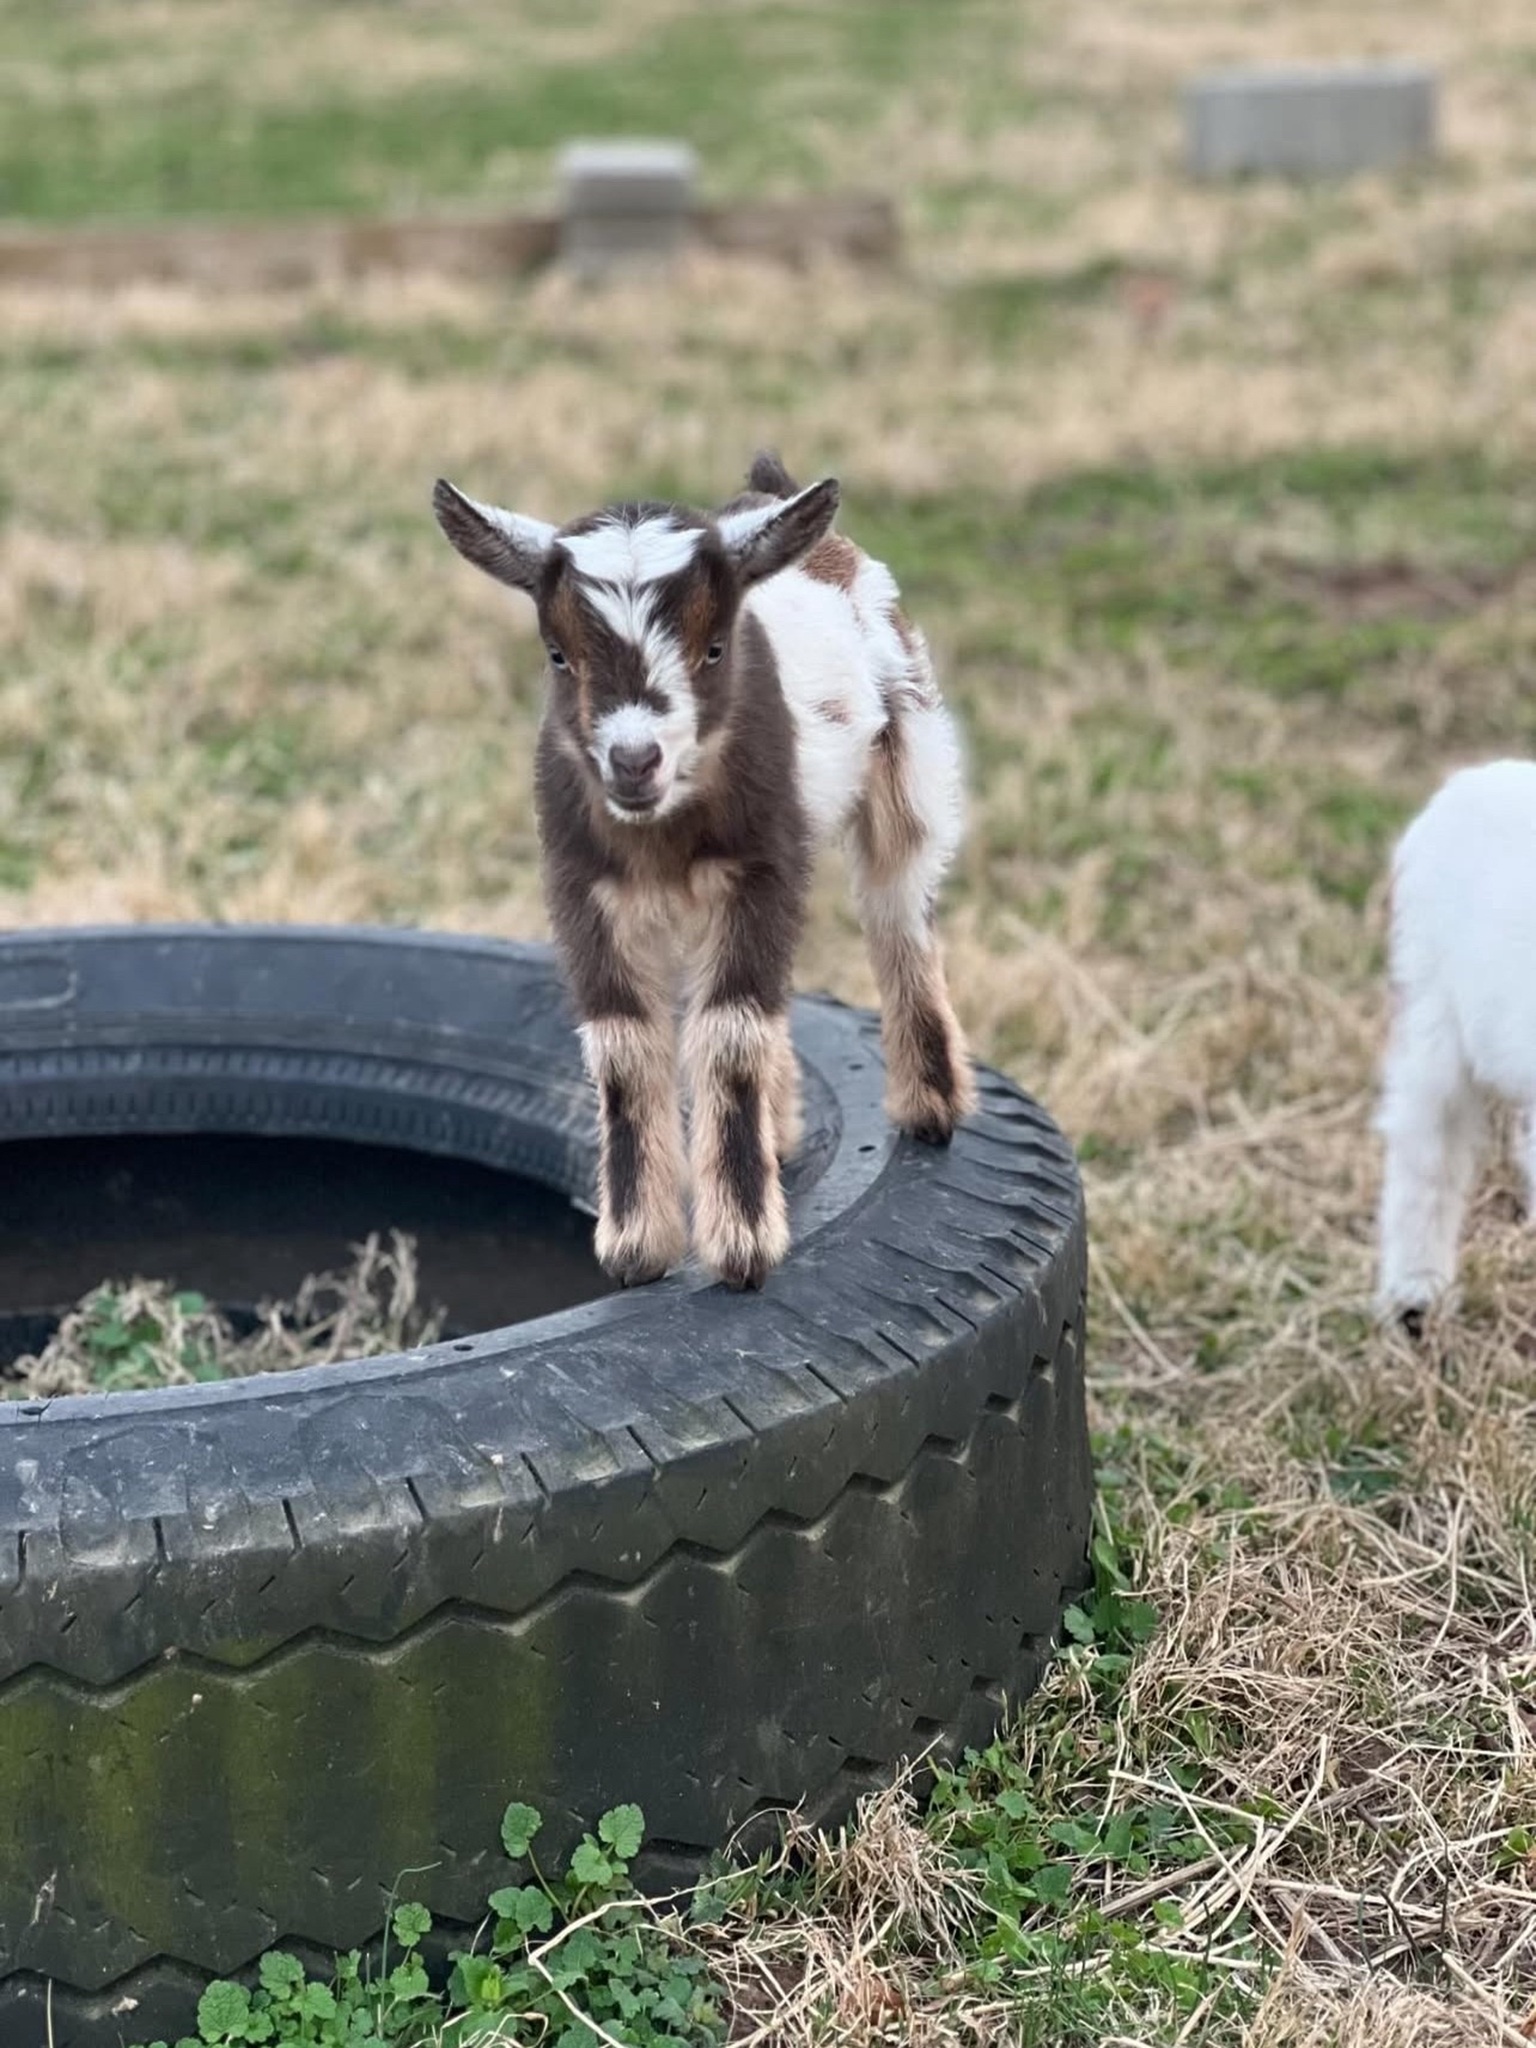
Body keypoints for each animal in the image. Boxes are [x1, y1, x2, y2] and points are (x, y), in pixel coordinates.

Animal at [433, 452, 977, 1289]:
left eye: (715, 648)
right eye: (558, 654)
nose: (634, 760)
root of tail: (770, 492)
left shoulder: (760, 868)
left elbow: (730, 1033)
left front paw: (744, 1246)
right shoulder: (582, 886)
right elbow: (624, 1047)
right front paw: (635, 1249)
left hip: (908, 754)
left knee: (898, 906)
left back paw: (930, 1108)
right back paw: (783, 1133)